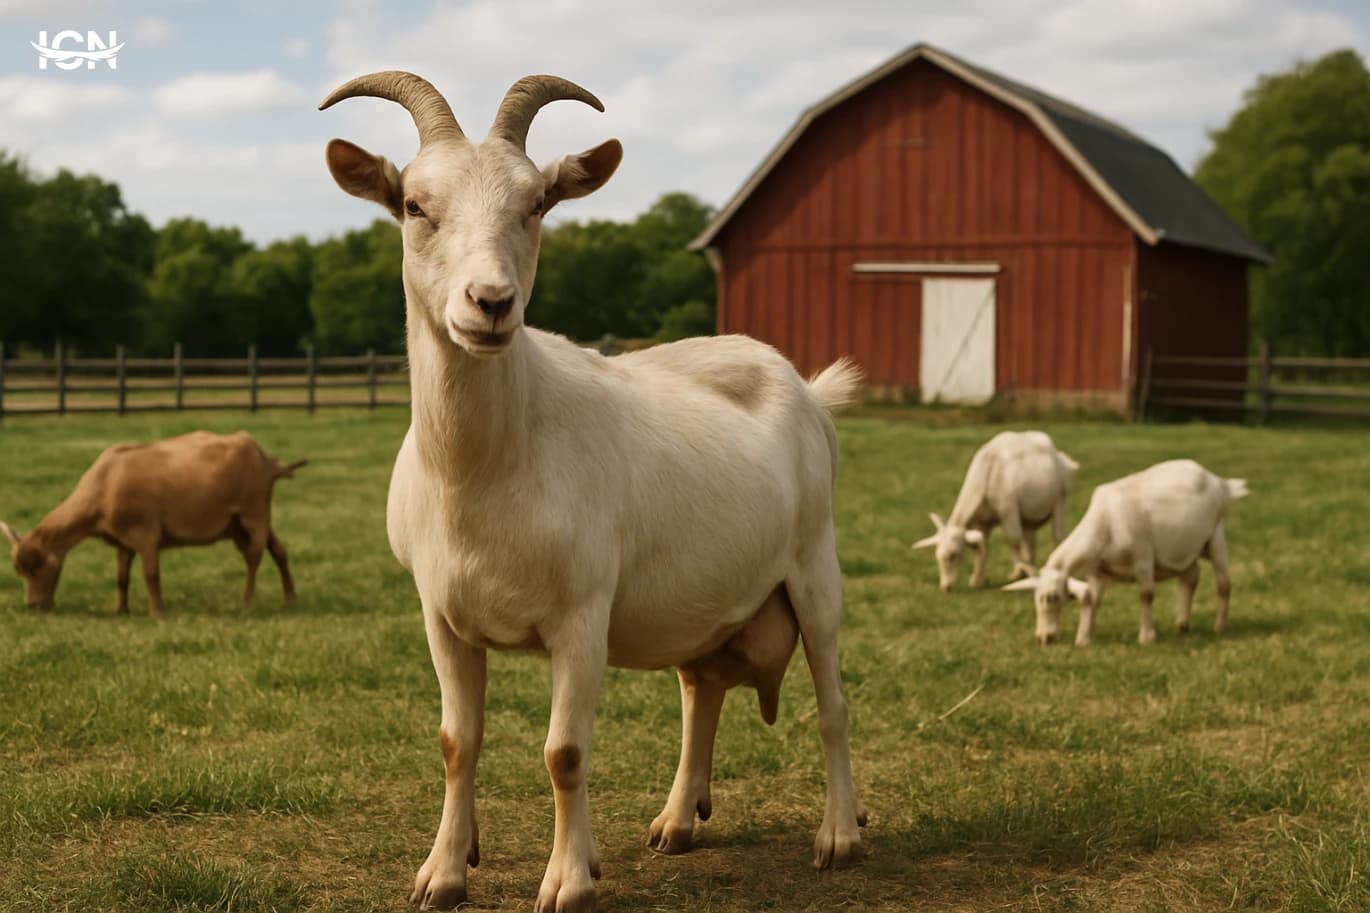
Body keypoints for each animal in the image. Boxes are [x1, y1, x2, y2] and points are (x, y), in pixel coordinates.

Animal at [3, 431, 303, 615]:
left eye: (38, 567)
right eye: (18, 570)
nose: (32, 605)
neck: (103, 486)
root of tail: (267, 461)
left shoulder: (145, 533)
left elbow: (151, 575)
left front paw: (157, 612)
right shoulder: (122, 540)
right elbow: (121, 577)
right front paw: (120, 610)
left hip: (253, 512)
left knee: (254, 556)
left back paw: (247, 601)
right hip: (242, 522)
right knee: (279, 551)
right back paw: (290, 598)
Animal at [320, 71, 867, 912]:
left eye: (537, 203)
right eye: (413, 204)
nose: (490, 303)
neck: (484, 471)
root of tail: (806, 386)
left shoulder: (582, 614)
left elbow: (565, 752)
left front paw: (568, 881)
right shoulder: (440, 613)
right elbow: (456, 742)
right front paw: (443, 869)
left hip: (815, 565)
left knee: (832, 701)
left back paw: (838, 834)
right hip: (705, 601)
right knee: (700, 689)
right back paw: (677, 819)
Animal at [912, 431, 1077, 591]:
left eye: (953, 555)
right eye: (937, 556)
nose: (946, 587)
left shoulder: (1008, 511)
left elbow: (1014, 541)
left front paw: (1020, 573)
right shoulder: (982, 523)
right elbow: (981, 549)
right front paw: (976, 580)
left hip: (1059, 501)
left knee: (1058, 536)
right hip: (1029, 517)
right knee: (1030, 542)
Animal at [1003, 459, 1247, 646]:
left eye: (1051, 597)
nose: (1043, 638)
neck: (1104, 525)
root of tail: (1221, 483)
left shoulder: (1143, 557)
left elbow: (1146, 595)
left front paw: (1146, 638)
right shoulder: (1099, 572)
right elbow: (1094, 600)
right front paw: (1085, 639)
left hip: (1215, 535)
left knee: (1223, 583)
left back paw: (1219, 626)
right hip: (1182, 550)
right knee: (1190, 577)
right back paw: (1182, 624)